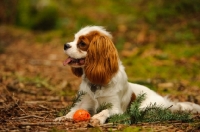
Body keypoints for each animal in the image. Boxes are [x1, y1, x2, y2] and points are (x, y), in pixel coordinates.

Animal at [54, 26, 200, 125]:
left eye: (82, 43)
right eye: (73, 39)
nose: (65, 45)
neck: (97, 83)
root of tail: (166, 101)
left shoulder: (115, 108)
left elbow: (105, 111)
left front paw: (97, 118)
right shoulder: (83, 102)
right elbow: (73, 111)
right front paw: (63, 117)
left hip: (144, 107)